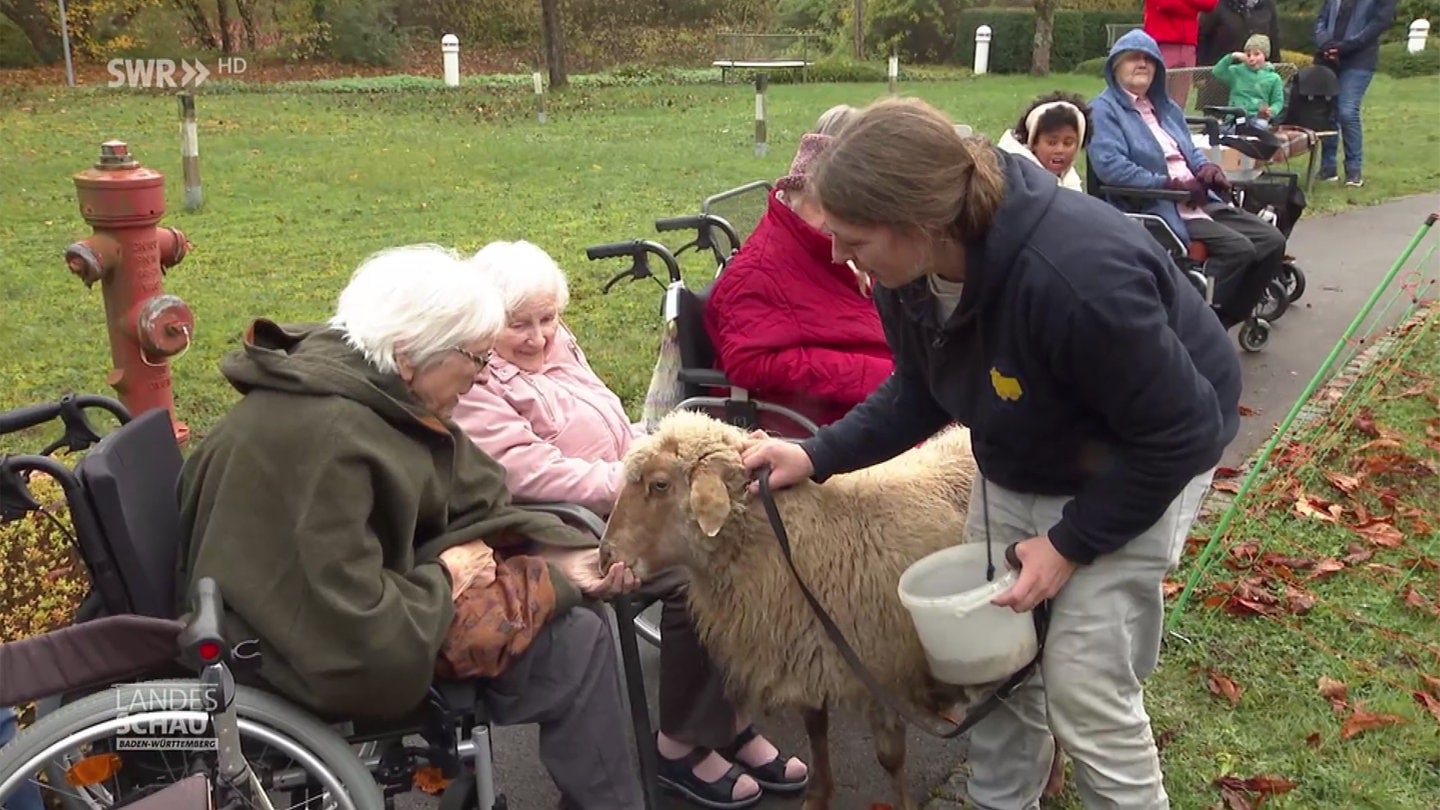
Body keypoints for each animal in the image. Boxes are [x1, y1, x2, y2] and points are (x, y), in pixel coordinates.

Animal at [596, 409, 979, 807]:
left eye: (659, 484)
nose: (605, 557)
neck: (795, 538)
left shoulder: (883, 672)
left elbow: (889, 758)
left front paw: (902, 803)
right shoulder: (806, 656)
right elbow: (816, 733)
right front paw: (818, 797)